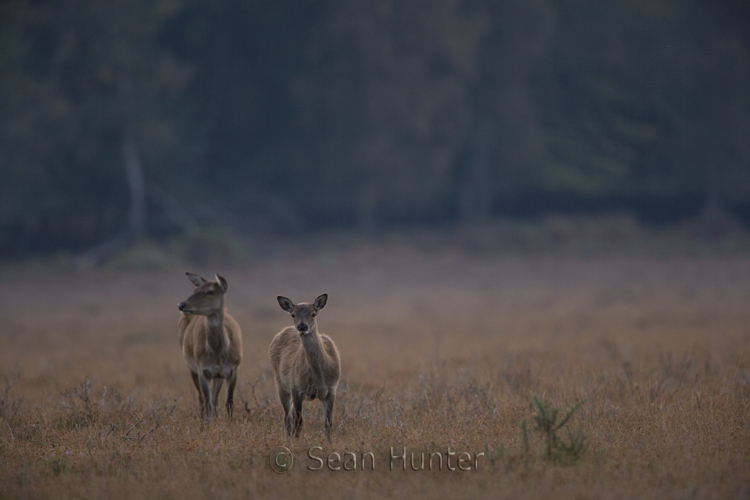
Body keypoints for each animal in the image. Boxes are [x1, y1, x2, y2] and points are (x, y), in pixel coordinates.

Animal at [177, 272, 242, 424]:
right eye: (195, 290)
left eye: (210, 291)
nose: (182, 304)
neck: (219, 354)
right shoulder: (203, 370)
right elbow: (206, 402)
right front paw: (206, 426)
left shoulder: (233, 369)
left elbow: (229, 401)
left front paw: (229, 424)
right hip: (192, 367)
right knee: (202, 399)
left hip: (218, 376)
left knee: (215, 398)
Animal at [269, 293, 341, 442]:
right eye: (293, 314)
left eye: (313, 313)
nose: (302, 326)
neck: (319, 377)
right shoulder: (297, 388)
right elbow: (299, 421)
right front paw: (297, 442)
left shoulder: (332, 389)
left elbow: (328, 423)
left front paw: (330, 443)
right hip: (281, 383)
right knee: (288, 417)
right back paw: (288, 440)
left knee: (289, 416)